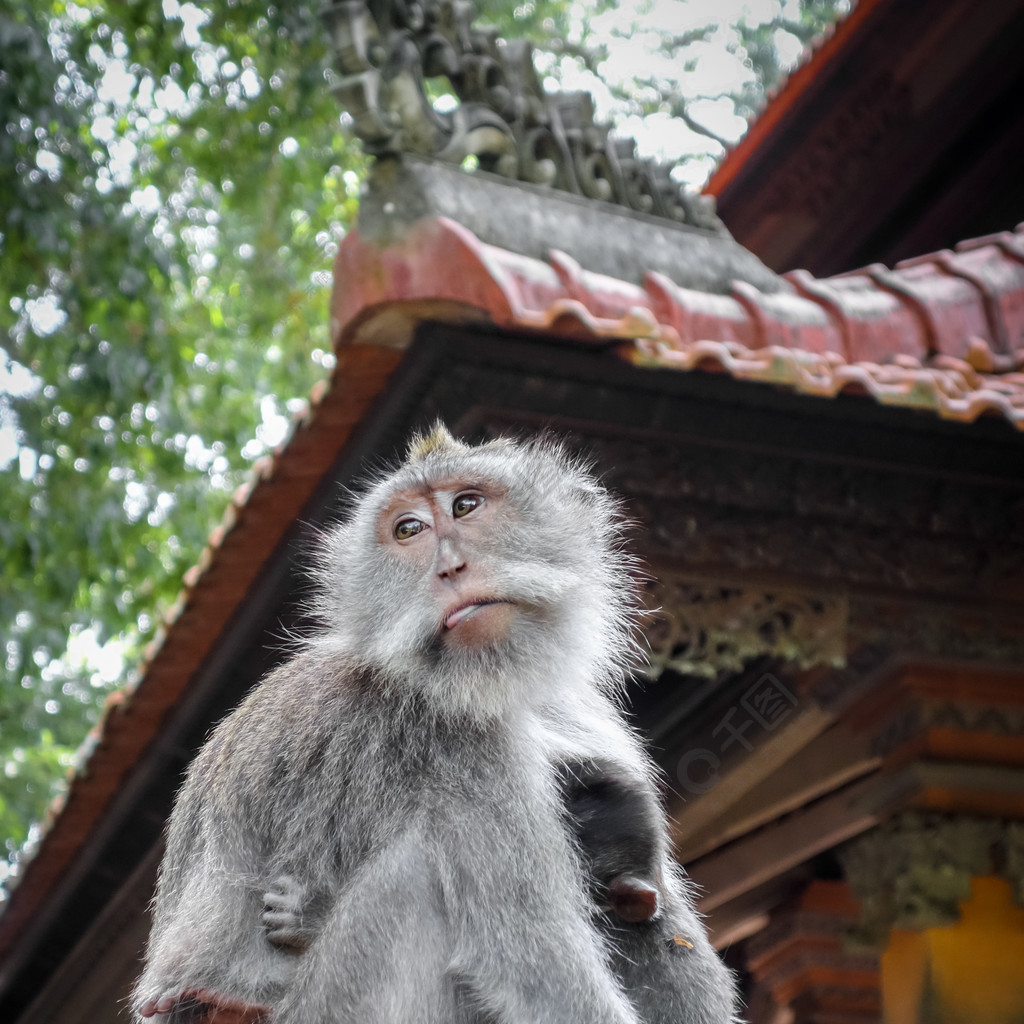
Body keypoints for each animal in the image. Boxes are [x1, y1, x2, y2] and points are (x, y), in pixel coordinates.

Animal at [136, 425, 741, 1024]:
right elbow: (534, 974)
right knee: (417, 877)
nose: (450, 567)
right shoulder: (461, 744)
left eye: (465, 505)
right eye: (409, 530)